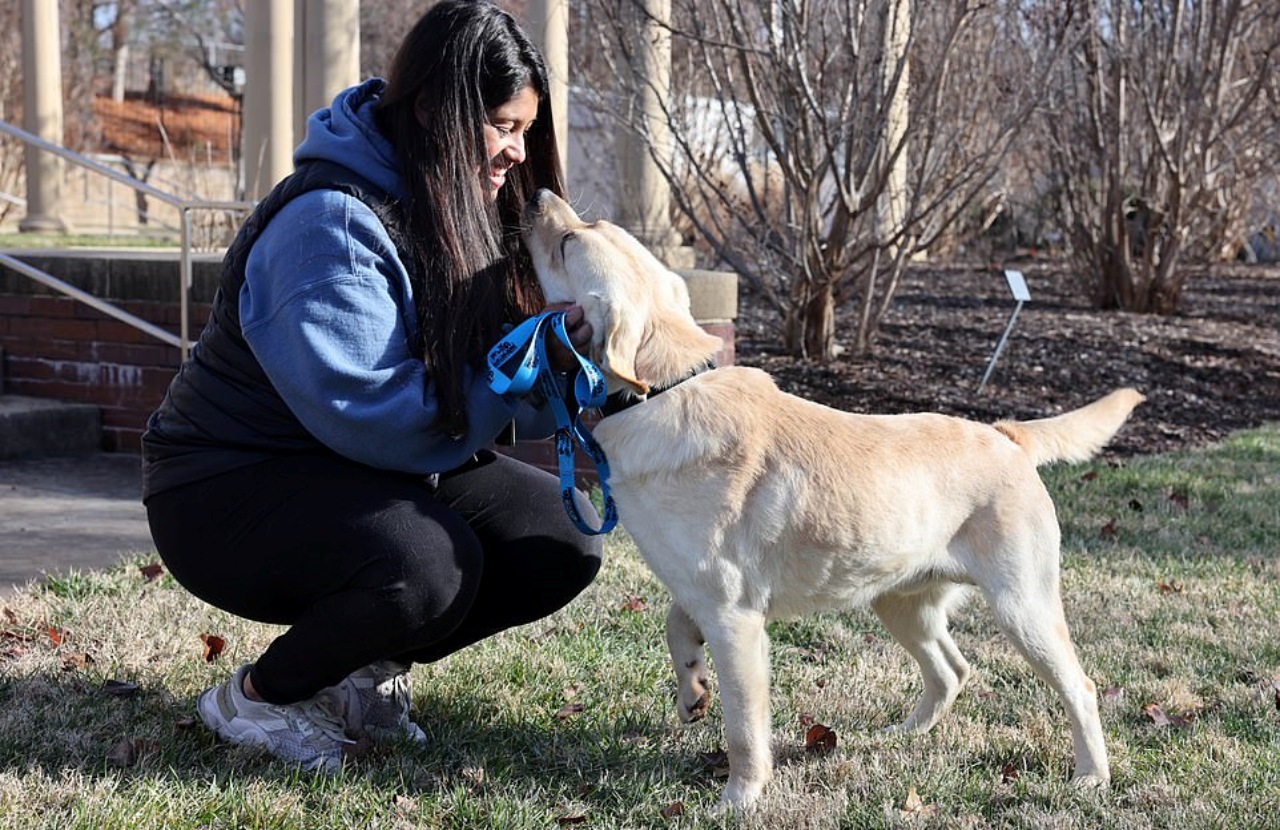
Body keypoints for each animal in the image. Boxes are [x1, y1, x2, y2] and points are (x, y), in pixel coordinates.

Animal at [524, 189, 1146, 809]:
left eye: (568, 242)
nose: (537, 195)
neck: (663, 390)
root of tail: (1006, 434)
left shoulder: (735, 617)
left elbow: (744, 728)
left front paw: (739, 798)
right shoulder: (702, 592)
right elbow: (675, 624)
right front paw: (692, 690)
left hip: (1022, 607)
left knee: (1079, 686)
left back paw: (1091, 776)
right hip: (900, 602)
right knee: (952, 670)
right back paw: (902, 735)